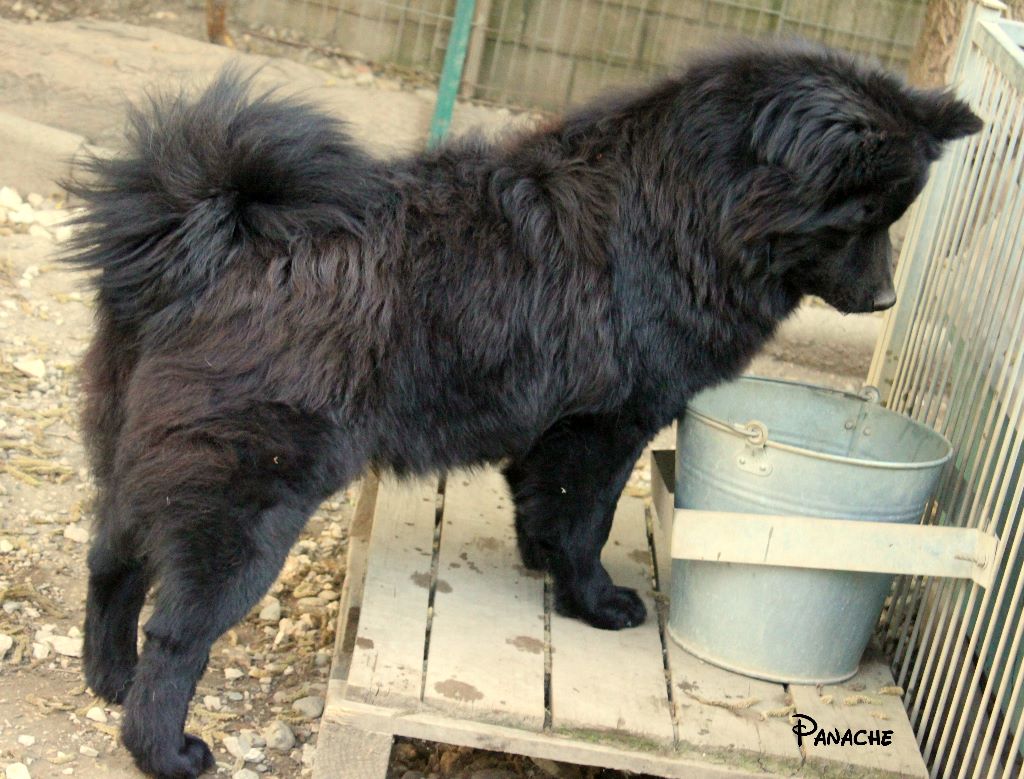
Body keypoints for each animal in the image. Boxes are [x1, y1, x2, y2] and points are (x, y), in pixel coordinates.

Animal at [66, 43, 980, 777]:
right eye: (861, 217)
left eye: (894, 215)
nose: (884, 297)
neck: (687, 213)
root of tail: (217, 228)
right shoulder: (606, 425)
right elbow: (587, 520)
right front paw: (596, 602)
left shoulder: (552, 430)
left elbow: (545, 508)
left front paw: (543, 567)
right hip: (247, 493)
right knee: (178, 631)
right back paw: (164, 746)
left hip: (135, 449)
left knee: (112, 562)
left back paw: (107, 676)